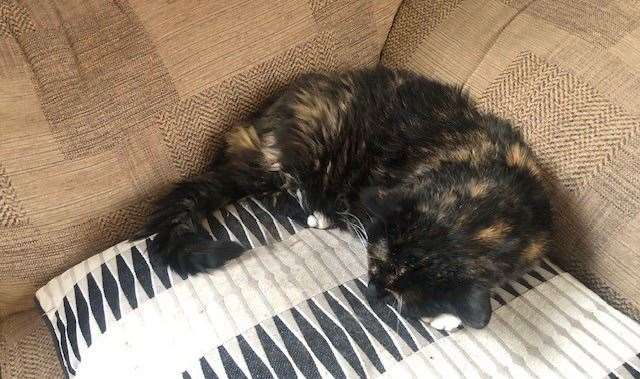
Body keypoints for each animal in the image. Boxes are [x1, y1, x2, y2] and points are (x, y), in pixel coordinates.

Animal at [134, 67, 552, 332]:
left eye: (395, 295)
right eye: (372, 264)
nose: (371, 294)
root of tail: (253, 128)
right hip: (312, 144)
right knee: (278, 192)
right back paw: (316, 212)